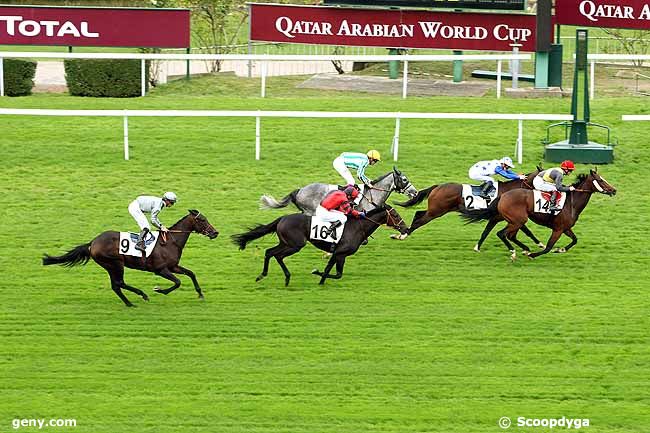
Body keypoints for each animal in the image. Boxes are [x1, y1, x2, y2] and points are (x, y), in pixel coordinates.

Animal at [42, 208, 218, 304]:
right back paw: (142, 295)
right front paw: (159, 290)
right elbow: (178, 282)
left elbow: (191, 274)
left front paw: (200, 294)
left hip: (110, 266)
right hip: (115, 264)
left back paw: (129, 303)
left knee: (116, 286)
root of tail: (93, 242)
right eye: (202, 220)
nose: (215, 232)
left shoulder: (173, 266)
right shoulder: (160, 270)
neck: (170, 242)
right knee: (119, 283)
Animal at [232, 205, 404, 286]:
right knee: (276, 255)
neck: (357, 227)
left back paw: (267, 275)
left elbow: (331, 271)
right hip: (295, 244)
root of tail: (282, 218)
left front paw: (321, 281)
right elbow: (335, 273)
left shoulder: (338, 254)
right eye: (395, 215)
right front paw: (317, 274)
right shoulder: (341, 253)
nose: (405, 228)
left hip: (286, 242)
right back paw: (282, 277)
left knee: (269, 252)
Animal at [390, 167, 540, 251]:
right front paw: (539, 245)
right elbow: (526, 230)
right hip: (436, 212)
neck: (510, 191)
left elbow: (486, 232)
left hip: (435, 210)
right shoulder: (506, 217)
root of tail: (437, 187)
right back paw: (403, 235)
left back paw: (403, 233)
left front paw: (477, 247)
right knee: (420, 221)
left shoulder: (498, 218)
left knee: (418, 213)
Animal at [458, 170, 616, 260]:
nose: (614, 190)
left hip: (513, 220)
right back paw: (515, 252)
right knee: (502, 234)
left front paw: (561, 249)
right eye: (600, 180)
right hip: (518, 220)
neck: (572, 202)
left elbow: (575, 240)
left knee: (507, 234)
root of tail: (503, 195)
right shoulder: (558, 229)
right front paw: (533, 255)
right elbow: (548, 247)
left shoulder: (565, 228)